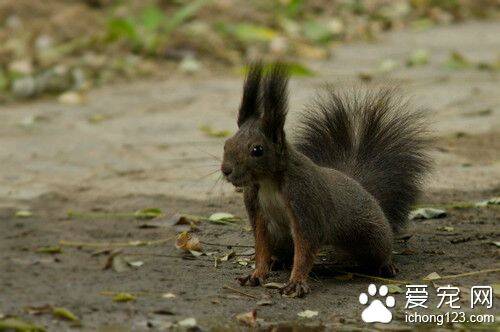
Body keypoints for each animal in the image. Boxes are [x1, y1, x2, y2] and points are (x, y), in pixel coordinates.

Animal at [221, 63, 432, 298]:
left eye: (257, 150)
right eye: (227, 143)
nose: (226, 170)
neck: (269, 182)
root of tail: (361, 187)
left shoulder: (305, 202)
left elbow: (305, 248)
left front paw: (295, 282)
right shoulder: (256, 208)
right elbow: (261, 245)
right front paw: (256, 274)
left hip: (371, 234)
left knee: (380, 249)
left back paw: (386, 265)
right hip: (281, 239)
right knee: (282, 252)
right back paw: (277, 261)